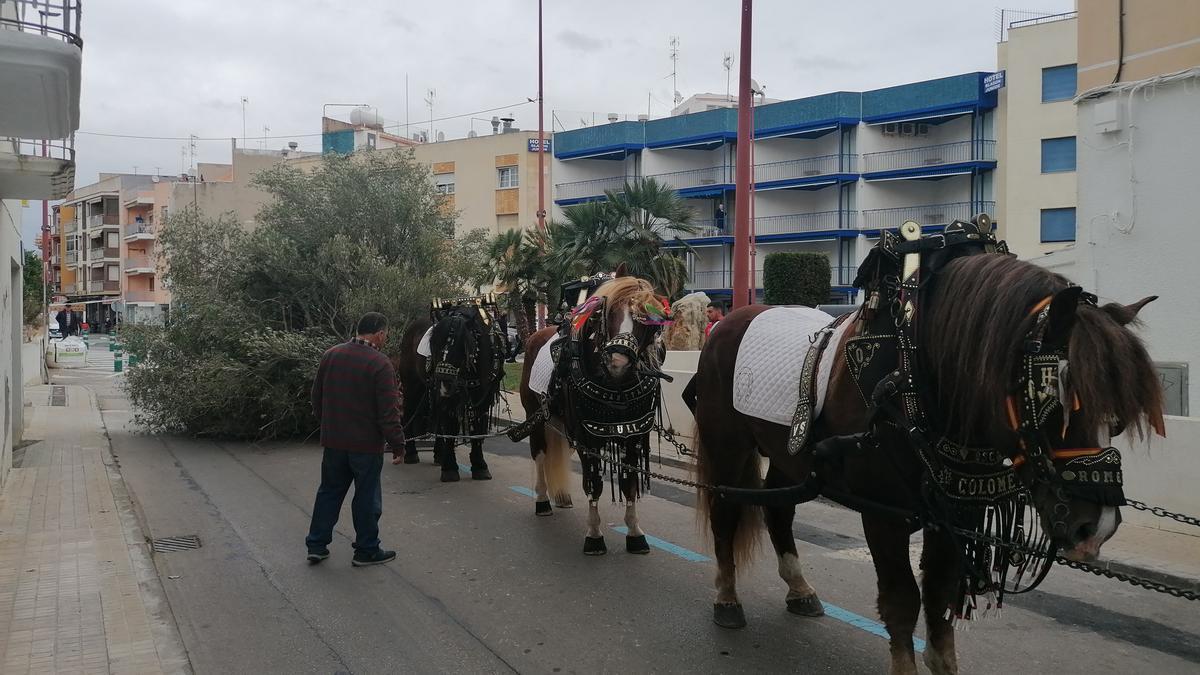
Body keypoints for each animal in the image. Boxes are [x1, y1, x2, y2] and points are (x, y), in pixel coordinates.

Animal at [513, 265, 672, 554]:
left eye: (645, 318)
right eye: (607, 312)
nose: (617, 360)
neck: (616, 387)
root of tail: (535, 336)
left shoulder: (633, 435)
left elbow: (629, 483)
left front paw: (635, 533)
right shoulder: (588, 437)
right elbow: (594, 484)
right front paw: (594, 535)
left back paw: (562, 497)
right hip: (536, 417)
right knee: (539, 455)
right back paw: (542, 500)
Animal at [691, 252, 1166, 672]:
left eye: (1120, 416)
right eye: (1056, 396)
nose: (1096, 527)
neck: (912, 374)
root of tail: (727, 324)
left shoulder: (955, 511)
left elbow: (940, 599)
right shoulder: (883, 513)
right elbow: (903, 601)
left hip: (787, 457)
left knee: (777, 509)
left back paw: (799, 588)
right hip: (727, 446)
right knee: (725, 510)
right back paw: (726, 597)